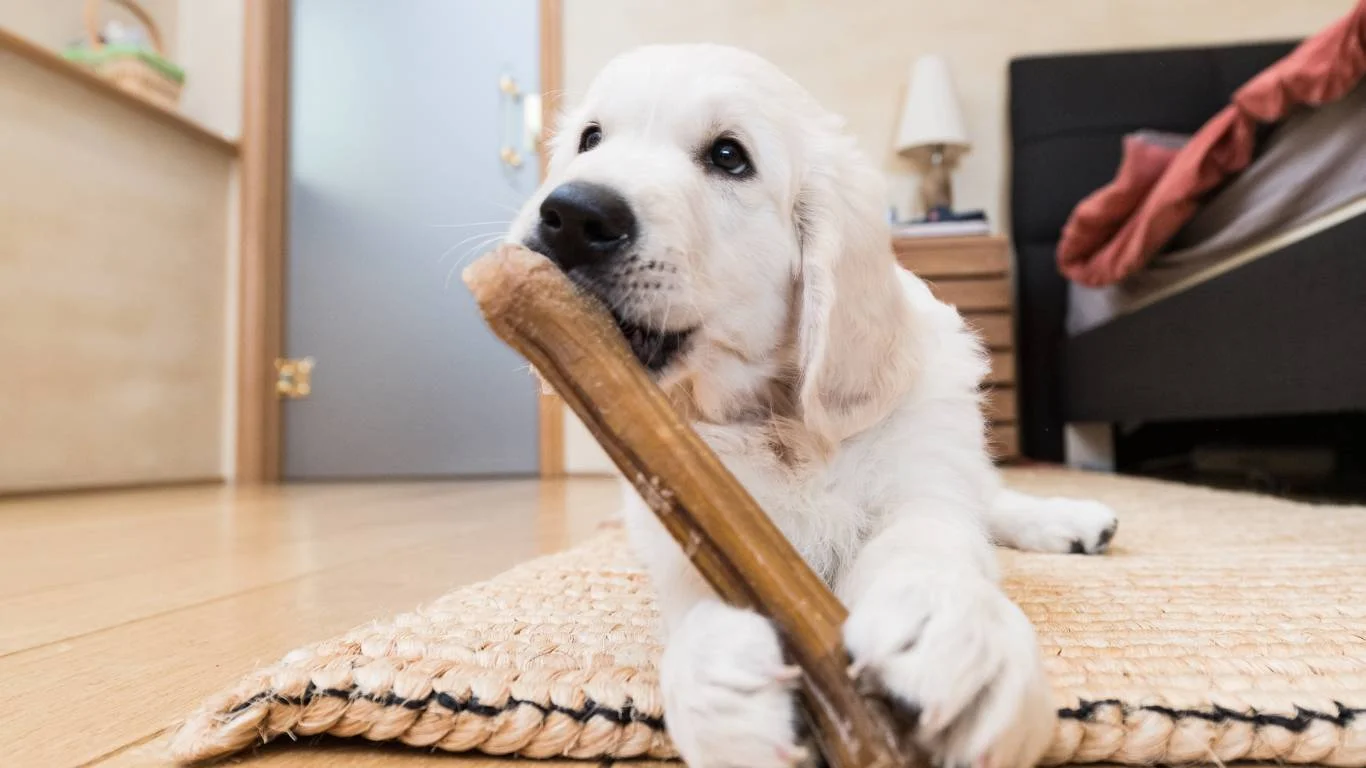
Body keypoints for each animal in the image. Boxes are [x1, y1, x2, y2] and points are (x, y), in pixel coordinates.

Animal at [508, 44, 1114, 765]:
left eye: (729, 156)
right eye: (590, 139)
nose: (572, 214)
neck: (776, 419)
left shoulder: (920, 477)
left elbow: (931, 538)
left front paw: (955, 631)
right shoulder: (683, 508)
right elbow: (692, 599)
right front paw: (718, 691)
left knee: (987, 496)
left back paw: (1072, 520)